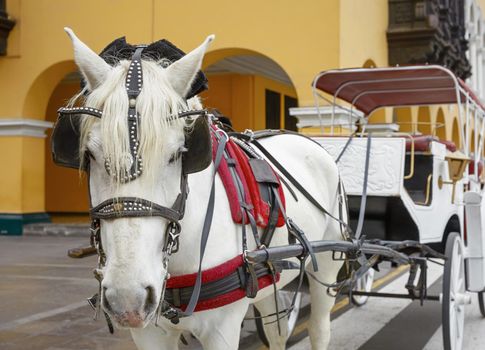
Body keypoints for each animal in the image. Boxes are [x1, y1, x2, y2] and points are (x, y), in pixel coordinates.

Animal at [64, 28, 344, 348]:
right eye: (90, 154)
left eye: (178, 154)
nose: (127, 298)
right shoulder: (148, 332)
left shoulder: (222, 328)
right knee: (277, 330)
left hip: (327, 262)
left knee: (319, 327)